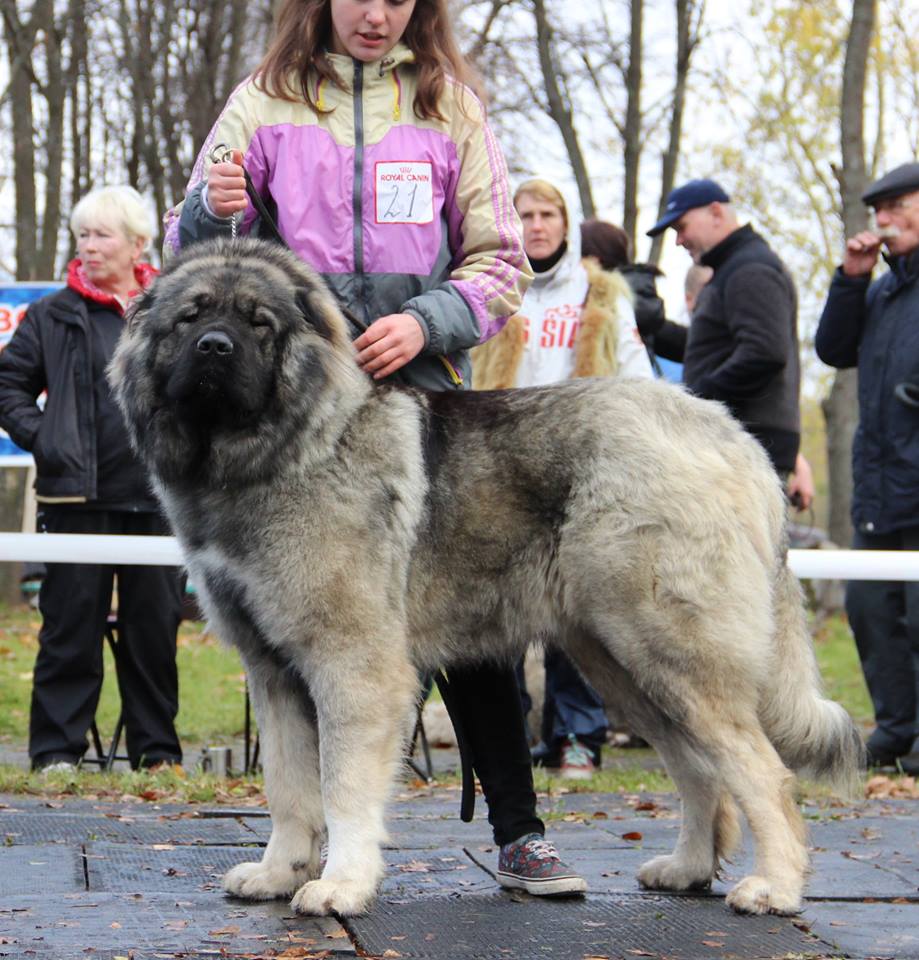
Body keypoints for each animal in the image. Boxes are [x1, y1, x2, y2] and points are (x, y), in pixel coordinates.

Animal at [111, 236, 868, 920]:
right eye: (189, 318)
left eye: (259, 323)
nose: (215, 349)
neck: (289, 446)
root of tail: (730, 436)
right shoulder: (273, 672)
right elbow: (289, 789)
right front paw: (278, 872)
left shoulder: (351, 667)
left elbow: (342, 787)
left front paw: (340, 885)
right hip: (624, 664)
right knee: (699, 768)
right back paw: (685, 868)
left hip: (669, 652)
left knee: (761, 773)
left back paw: (773, 888)